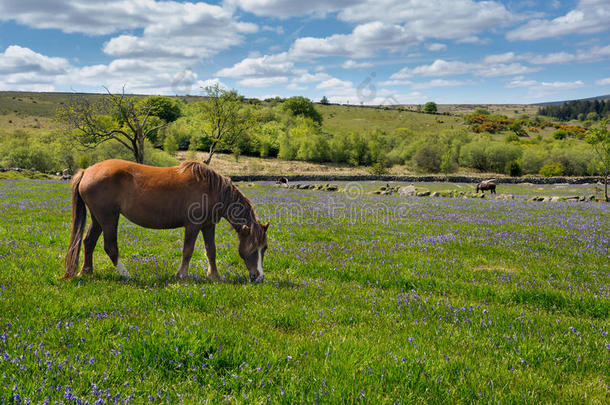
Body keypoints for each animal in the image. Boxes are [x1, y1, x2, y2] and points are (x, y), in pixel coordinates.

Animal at [63, 159, 268, 282]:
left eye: (264, 248)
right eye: (252, 248)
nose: (259, 277)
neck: (212, 189)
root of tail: (86, 171)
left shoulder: (208, 226)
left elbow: (211, 251)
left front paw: (214, 276)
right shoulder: (192, 226)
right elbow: (188, 251)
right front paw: (181, 275)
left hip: (98, 218)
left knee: (88, 242)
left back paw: (86, 271)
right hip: (108, 218)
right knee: (110, 247)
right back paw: (126, 274)